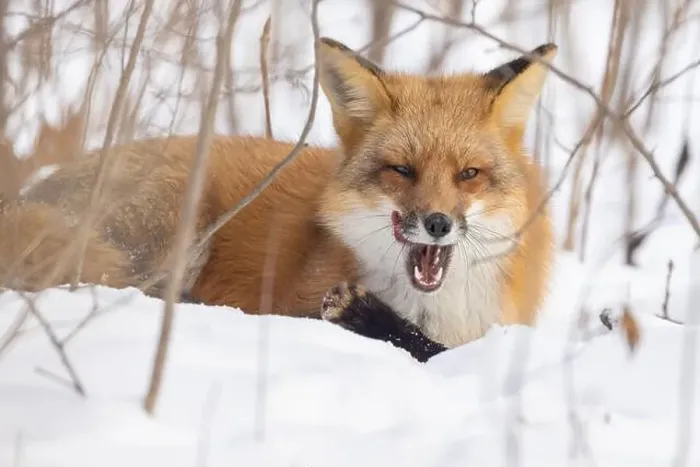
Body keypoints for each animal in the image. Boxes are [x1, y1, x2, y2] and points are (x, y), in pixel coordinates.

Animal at [0, 37, 557, 362]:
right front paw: (368, 317)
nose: (437, 223)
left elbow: (440, 352)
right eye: (402, 170)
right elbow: (428, 350)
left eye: (469, 174)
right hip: (175, 224)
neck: (437, 308)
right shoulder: (300, 301)